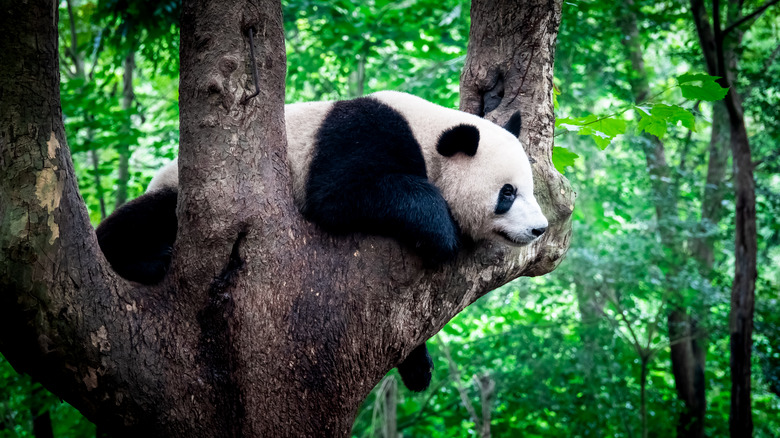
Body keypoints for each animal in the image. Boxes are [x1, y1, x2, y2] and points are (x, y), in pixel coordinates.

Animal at [96, 90, 548, 392]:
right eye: (508, 193)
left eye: (529, 188)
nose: (539, 229)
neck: (429, 136)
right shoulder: (361, 134)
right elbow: (341, 193)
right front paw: (441, 232)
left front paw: (419, 365)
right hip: (186, 194)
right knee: (145, 218)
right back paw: (146, 259)